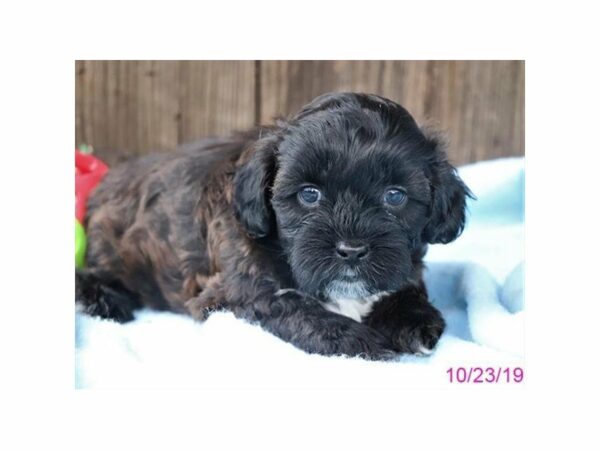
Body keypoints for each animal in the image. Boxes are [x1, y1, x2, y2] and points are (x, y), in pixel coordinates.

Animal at [75, 93, 472, 360]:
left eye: (395, 196)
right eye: (309, 194)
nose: (351, 250)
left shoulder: (402, 266)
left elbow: (404, 287)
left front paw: (413, 320)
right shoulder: (232, 294)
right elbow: (287, 307)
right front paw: (356, 340)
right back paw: (103, 298)